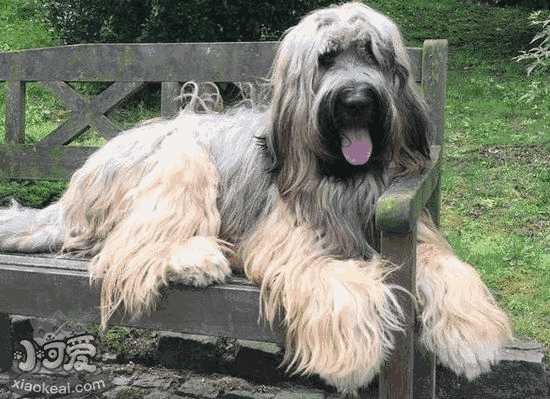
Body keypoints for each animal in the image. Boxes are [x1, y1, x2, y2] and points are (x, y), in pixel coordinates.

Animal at [0, 1, 512, 396]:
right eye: (326, 59)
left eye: (371, 53)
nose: (357, 101)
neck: (343, 177)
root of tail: (73, 193)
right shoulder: (287, 239)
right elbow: (335, 279)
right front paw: (355, 355)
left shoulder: (410, 226)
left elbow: (448, 265)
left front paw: (472, 335)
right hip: (181, 157)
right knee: (127, 247)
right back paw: (198, 259)